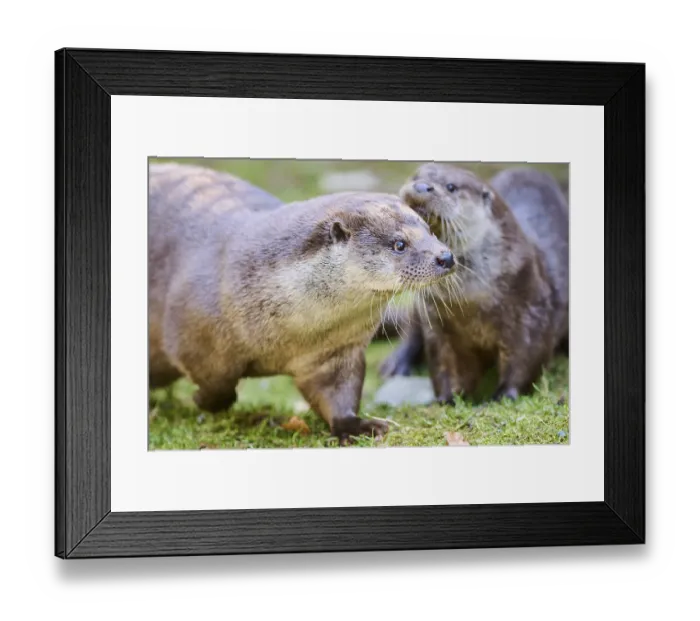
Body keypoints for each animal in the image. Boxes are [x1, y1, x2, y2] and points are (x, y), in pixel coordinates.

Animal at [149, 163, 455, 441]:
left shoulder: (334, 352)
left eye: (430, 231)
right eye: (399, 244)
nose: (446, 257)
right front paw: (201, 402)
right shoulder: (189, 335)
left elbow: (339, 392)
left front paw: (356, 426)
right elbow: (216, 384)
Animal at [380, 163, 568, 402]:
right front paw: (447, 398)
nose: (421, 186)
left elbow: (525, 358)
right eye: (415, 176)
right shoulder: (437, 322)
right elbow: (445, 363)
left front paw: (505, 394)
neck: (471, 299)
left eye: (451, 187)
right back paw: (396, 364)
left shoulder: (532, 312)